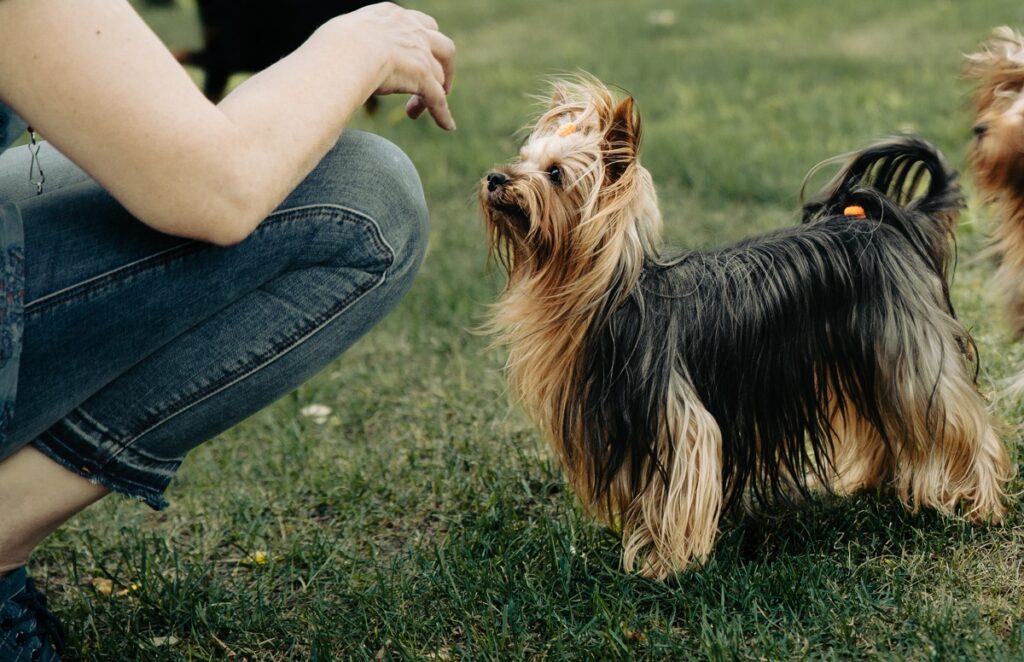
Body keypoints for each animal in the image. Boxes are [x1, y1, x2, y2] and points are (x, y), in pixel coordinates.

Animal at [483, 78, 1011, 582]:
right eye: (523, 159)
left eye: (555, 174)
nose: (494, 177)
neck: (608, 294)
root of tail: (885, 223)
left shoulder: (679, 421)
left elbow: (680, 490)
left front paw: (665, 564)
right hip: (860, 354)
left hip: (911, 354)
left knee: (963, 422)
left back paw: (981, 505)